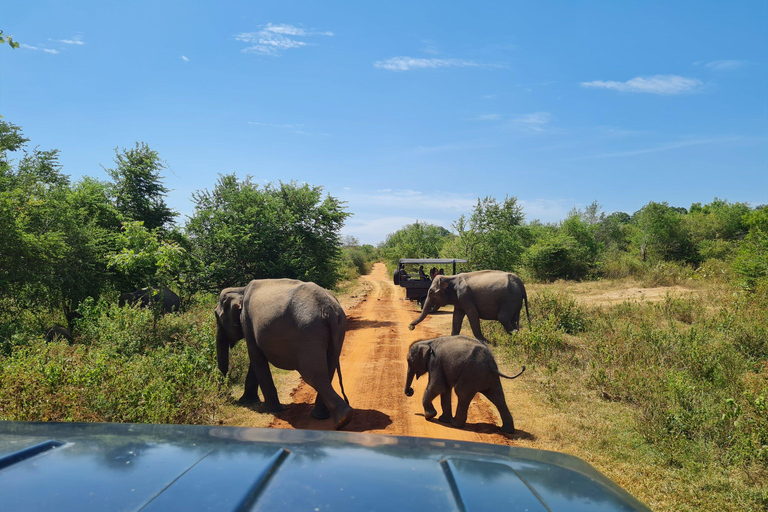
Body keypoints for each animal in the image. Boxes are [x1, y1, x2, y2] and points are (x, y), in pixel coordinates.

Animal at [213, 278, 352, 430]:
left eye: (216, 316)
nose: (226, 397)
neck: (240, 290)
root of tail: (328, 307)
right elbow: (256, 358)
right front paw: (247, 401)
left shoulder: (246, 320)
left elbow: (255, 356)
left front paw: (269, 409)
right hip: (339, 327)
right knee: (328, 369)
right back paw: (327, 417)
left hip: (309, 332)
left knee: (312, 375)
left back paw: (342, 419)